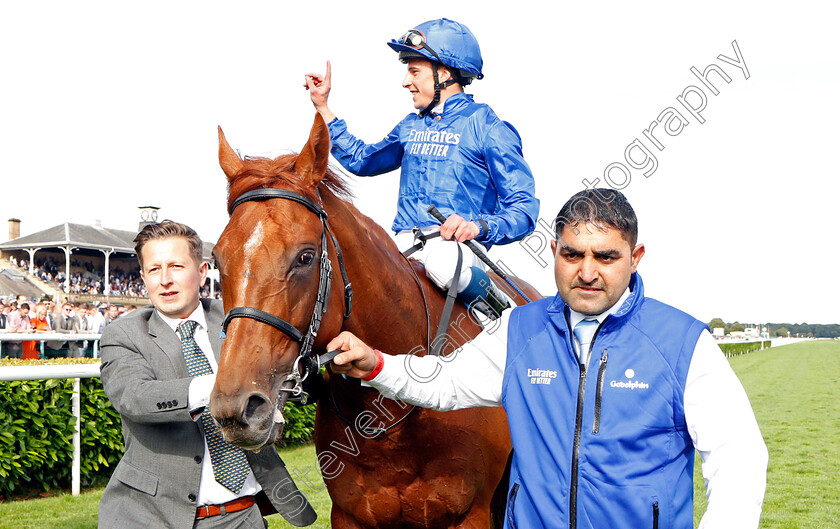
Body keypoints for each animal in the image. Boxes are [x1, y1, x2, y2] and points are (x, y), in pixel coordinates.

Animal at [210, 115, 540, 528]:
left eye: (305, 256)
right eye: (217, 258)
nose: (236, 409)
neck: (394, 417)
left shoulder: (469, 514)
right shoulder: (351, 515)